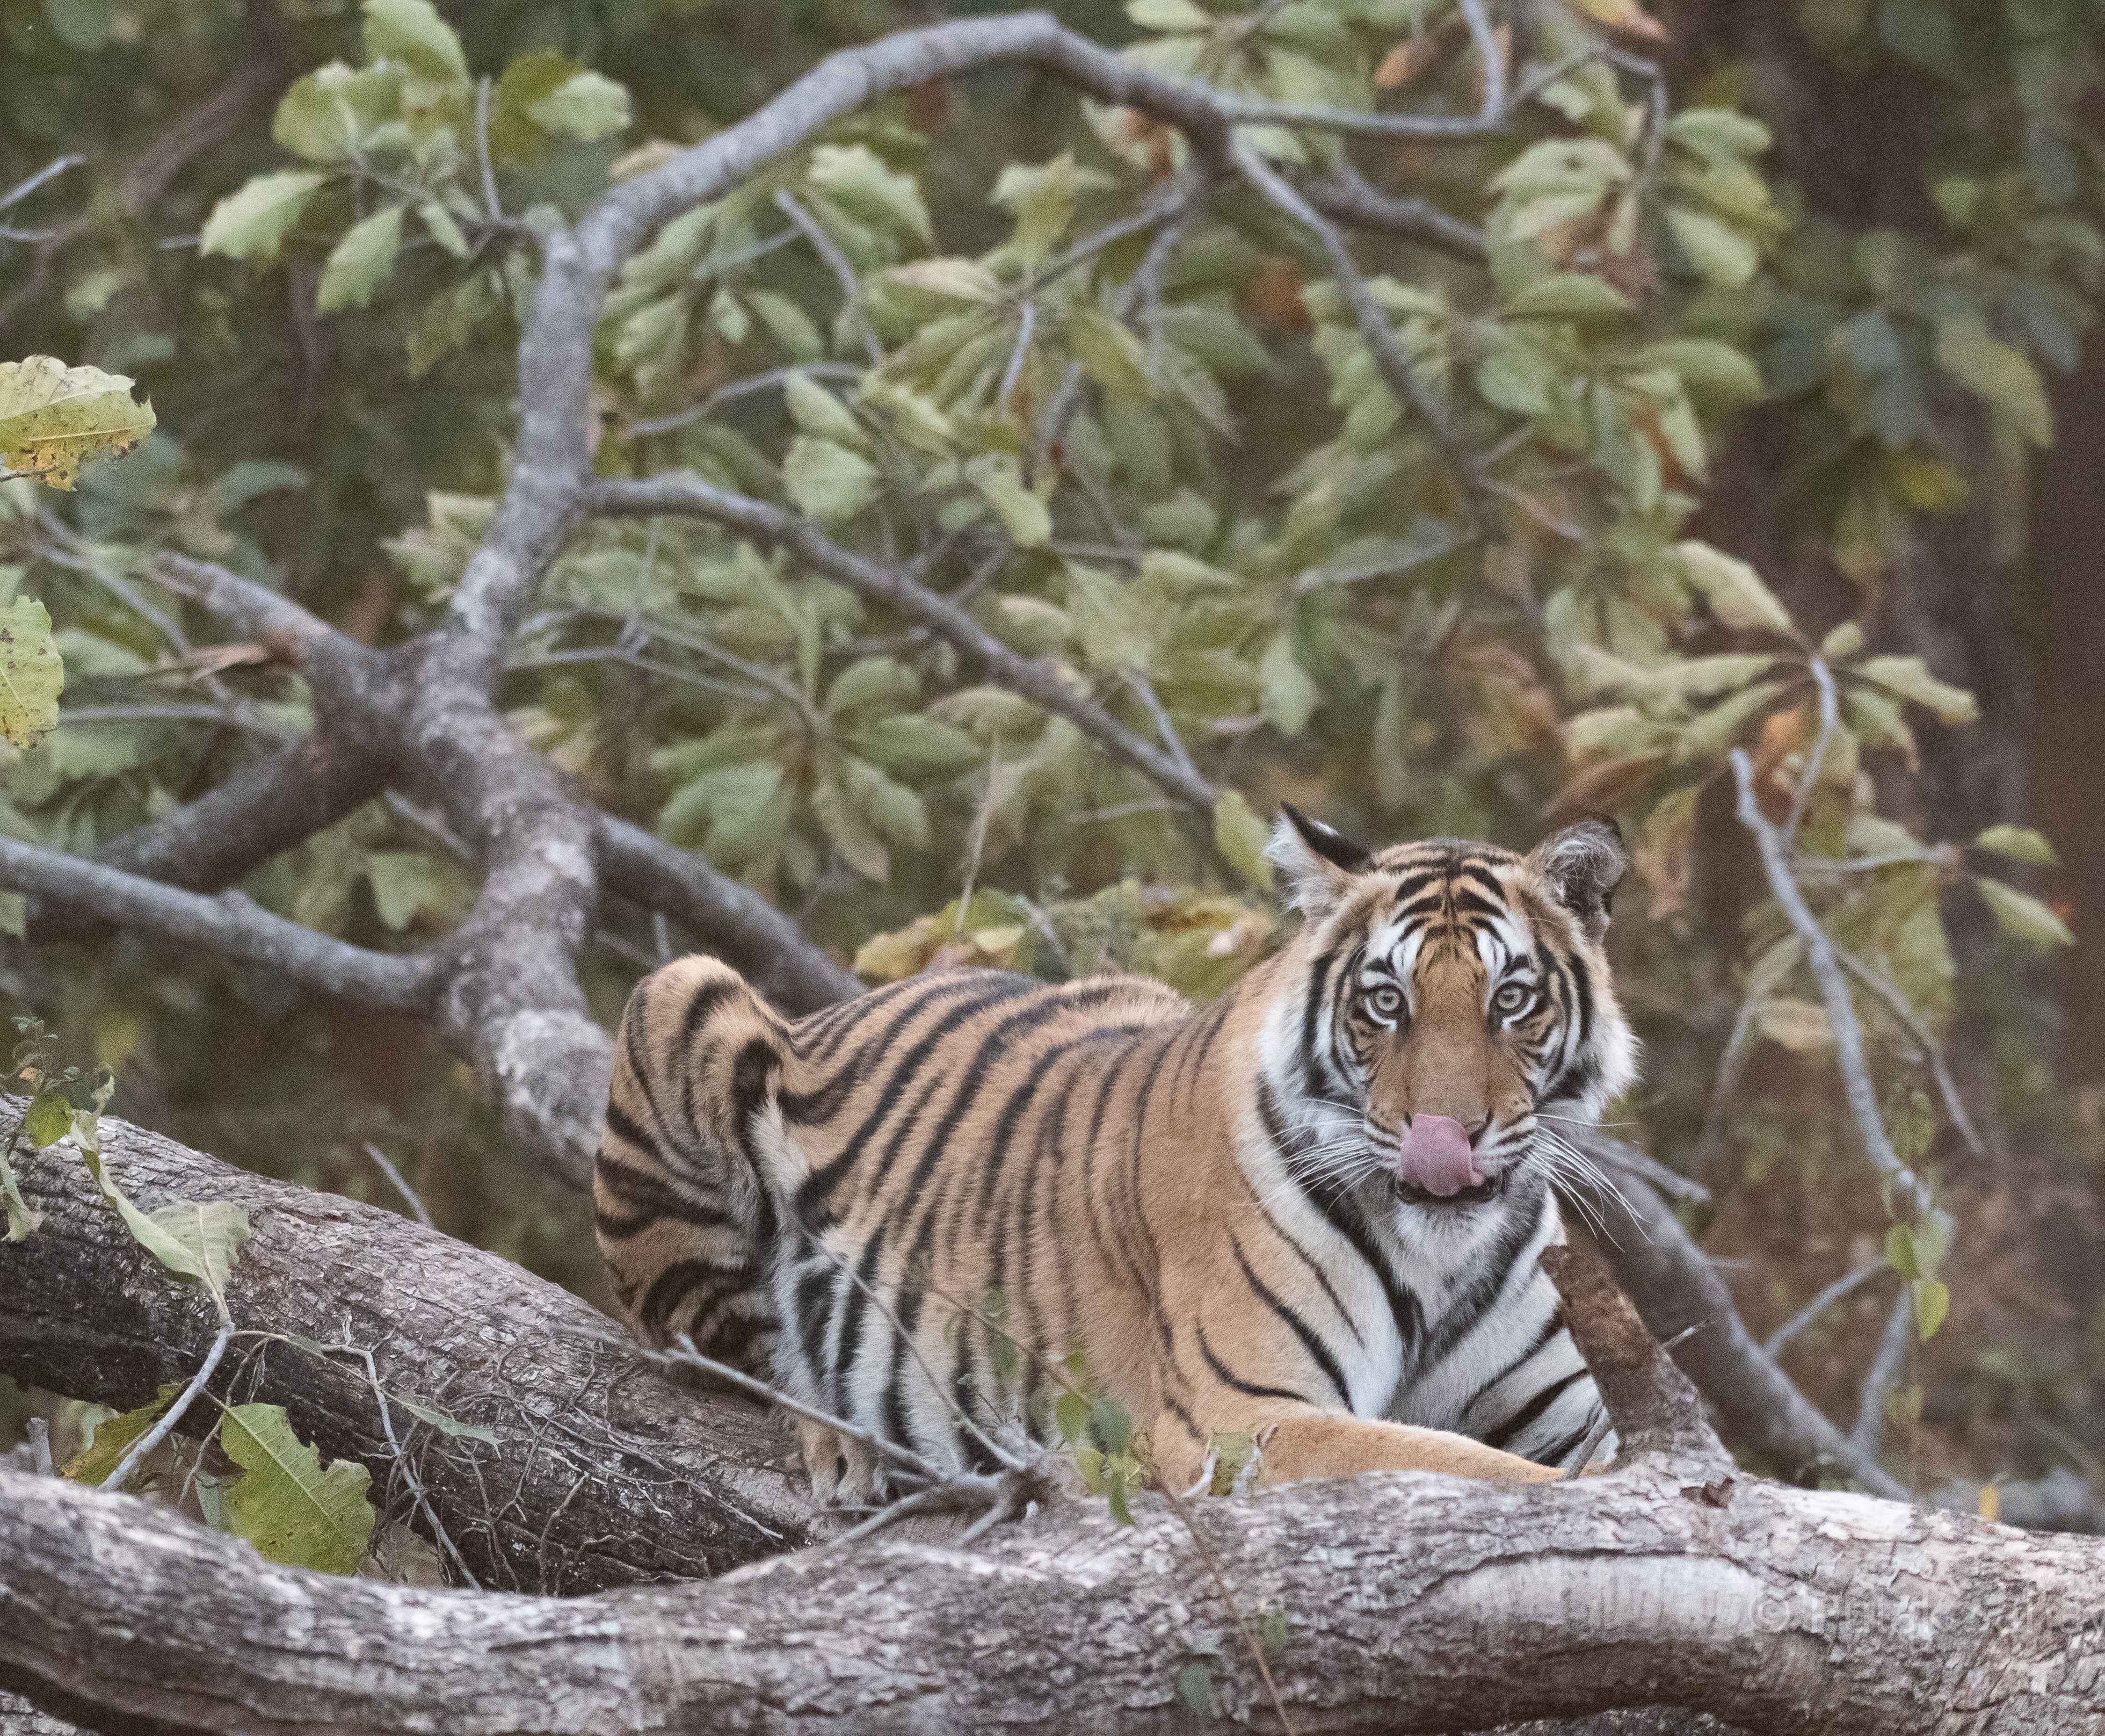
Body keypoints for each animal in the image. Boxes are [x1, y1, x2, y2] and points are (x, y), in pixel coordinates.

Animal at [594, 807, 1636, 1501]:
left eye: (1511, 998)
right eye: (1387, 1001)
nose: (1444, 1141)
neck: (1441, 1254)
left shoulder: (1573, 1407)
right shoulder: (1240, 1418)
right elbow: (1474, 1465)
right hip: (682, 993)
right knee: (719, 1348)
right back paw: (840, 1439)